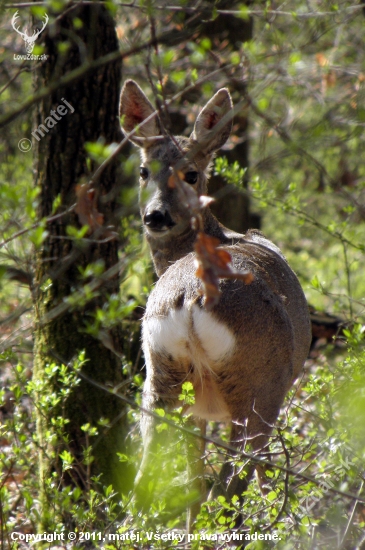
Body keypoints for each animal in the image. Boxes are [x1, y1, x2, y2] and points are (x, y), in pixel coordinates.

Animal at [118, 81, 310, 516]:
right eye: (144, 171)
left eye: (192, 174)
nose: (156, 216)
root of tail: (190, 298)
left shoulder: (196, 410)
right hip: (260, 385)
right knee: (233, 481)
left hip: (161, 377)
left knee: (146, 484)